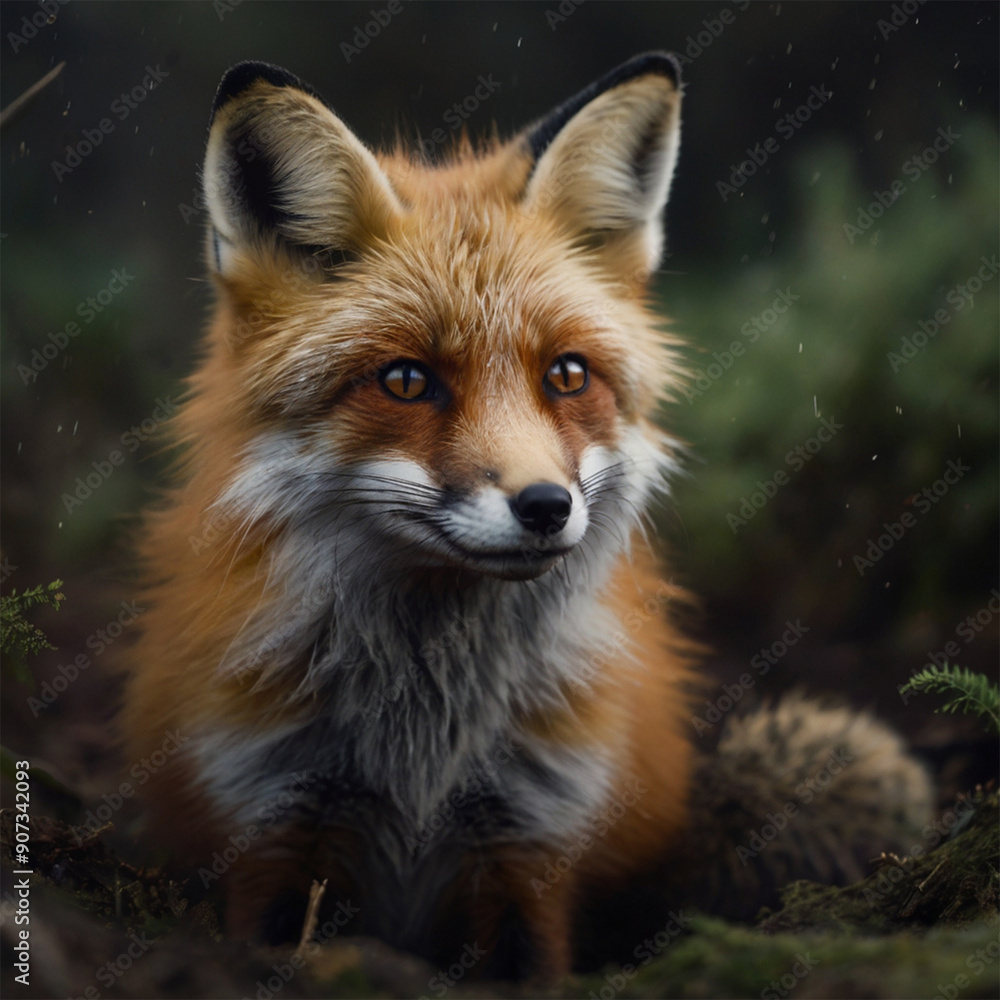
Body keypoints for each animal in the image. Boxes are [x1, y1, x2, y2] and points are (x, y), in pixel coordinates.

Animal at [121, 53, 932, 980]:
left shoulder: (530, 846)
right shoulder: (273, 825)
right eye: (406, 381)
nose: (546, 506)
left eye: (567, 375)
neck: (424, 747)